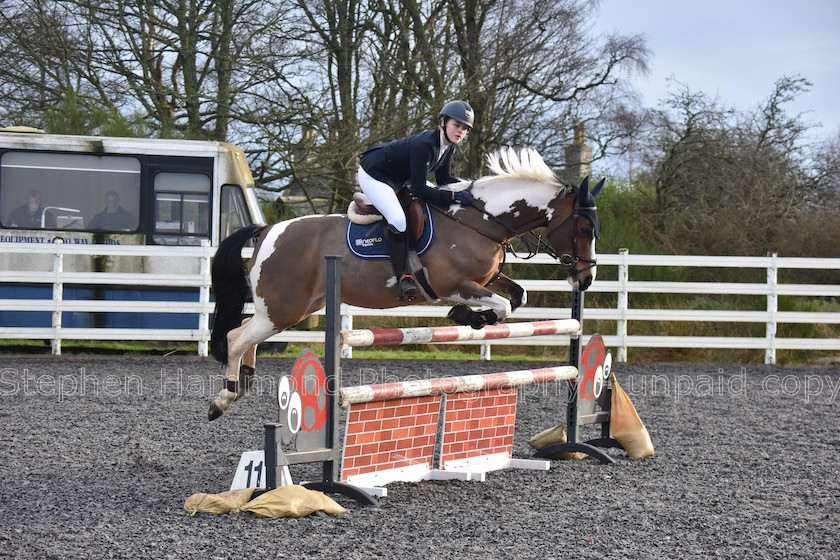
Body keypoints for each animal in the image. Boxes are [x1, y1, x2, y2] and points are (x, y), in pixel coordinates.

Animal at [209, 147, 604, 418]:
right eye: (585, 228)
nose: (586, 279)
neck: (481, 220)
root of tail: (267, 230)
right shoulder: (451, 283)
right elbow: (503, 304)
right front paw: (467, 316)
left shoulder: (487, 278)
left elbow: (517, 296)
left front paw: (471, 318)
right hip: (283, 309)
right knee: (237, 337)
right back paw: (223, 398)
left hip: (293, 307)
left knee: (245, 331)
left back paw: (244, 381)